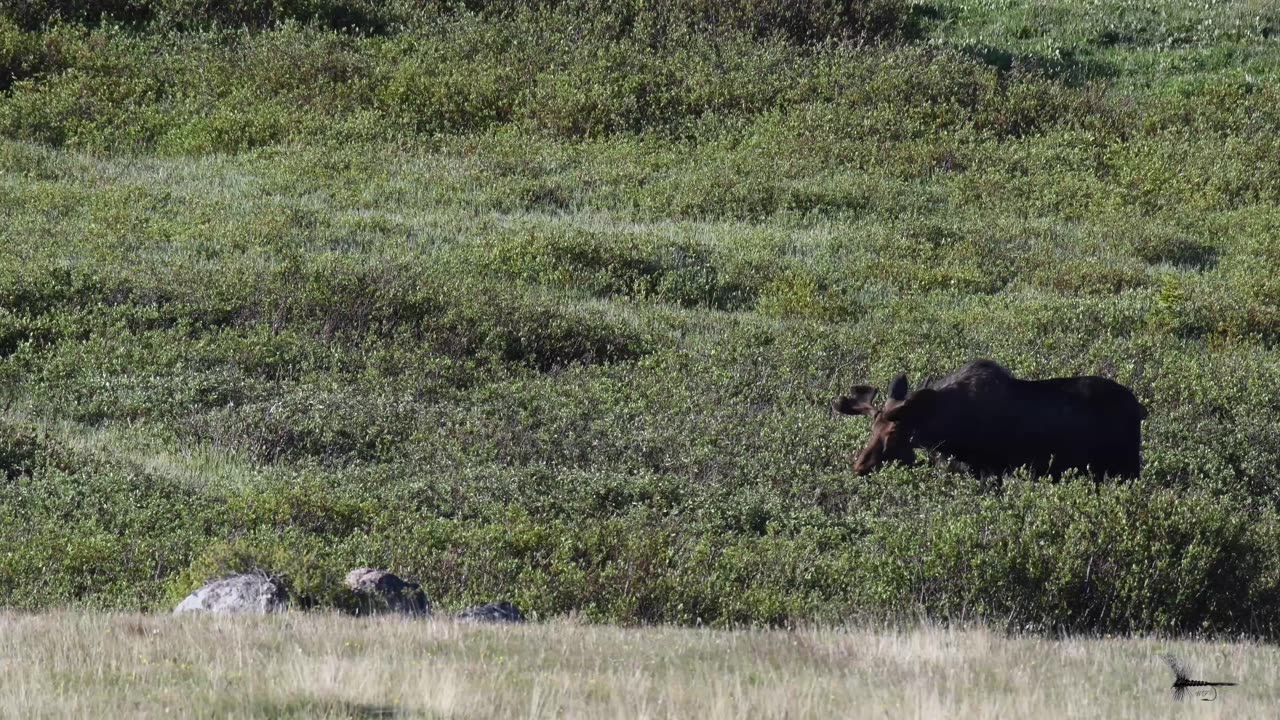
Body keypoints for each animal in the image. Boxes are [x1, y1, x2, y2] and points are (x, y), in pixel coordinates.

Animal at [829, 356, 1152, 479]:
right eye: (872, 428)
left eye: (894, 434)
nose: (859, 466)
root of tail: (1140, 409)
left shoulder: (990, 471)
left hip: (1125, 468)